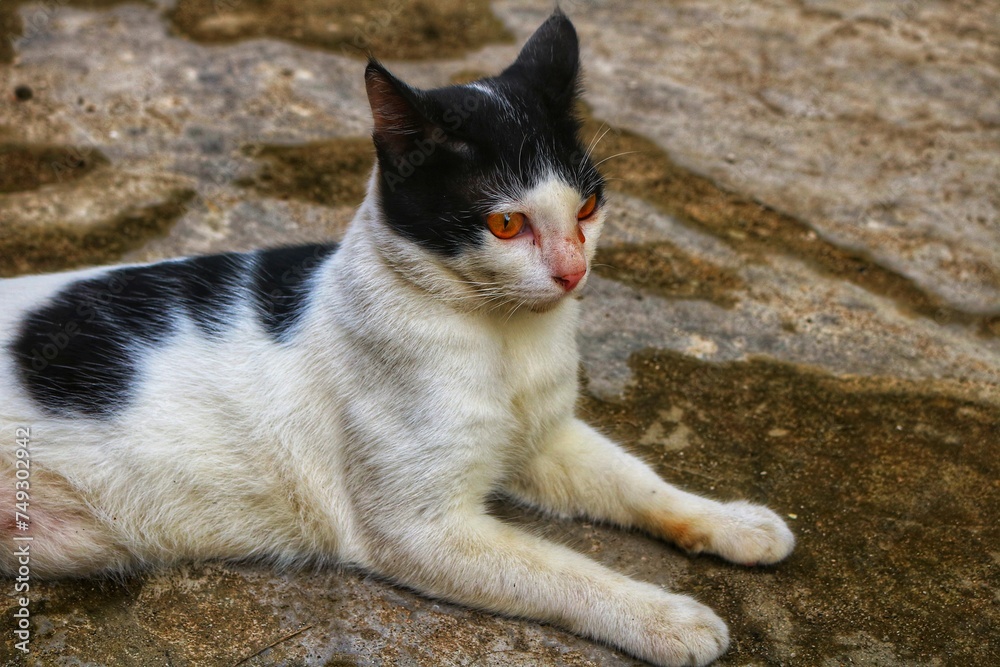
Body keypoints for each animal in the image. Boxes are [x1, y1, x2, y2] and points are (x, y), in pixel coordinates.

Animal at [1, 10, 796, 667]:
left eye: (588, 207)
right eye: (506, 223)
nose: (573, 271)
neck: (504, 338)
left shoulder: (545, 438)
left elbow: (638, 481)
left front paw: (732, 523)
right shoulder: (421, 531)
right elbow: (565, 570)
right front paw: (665, 617)